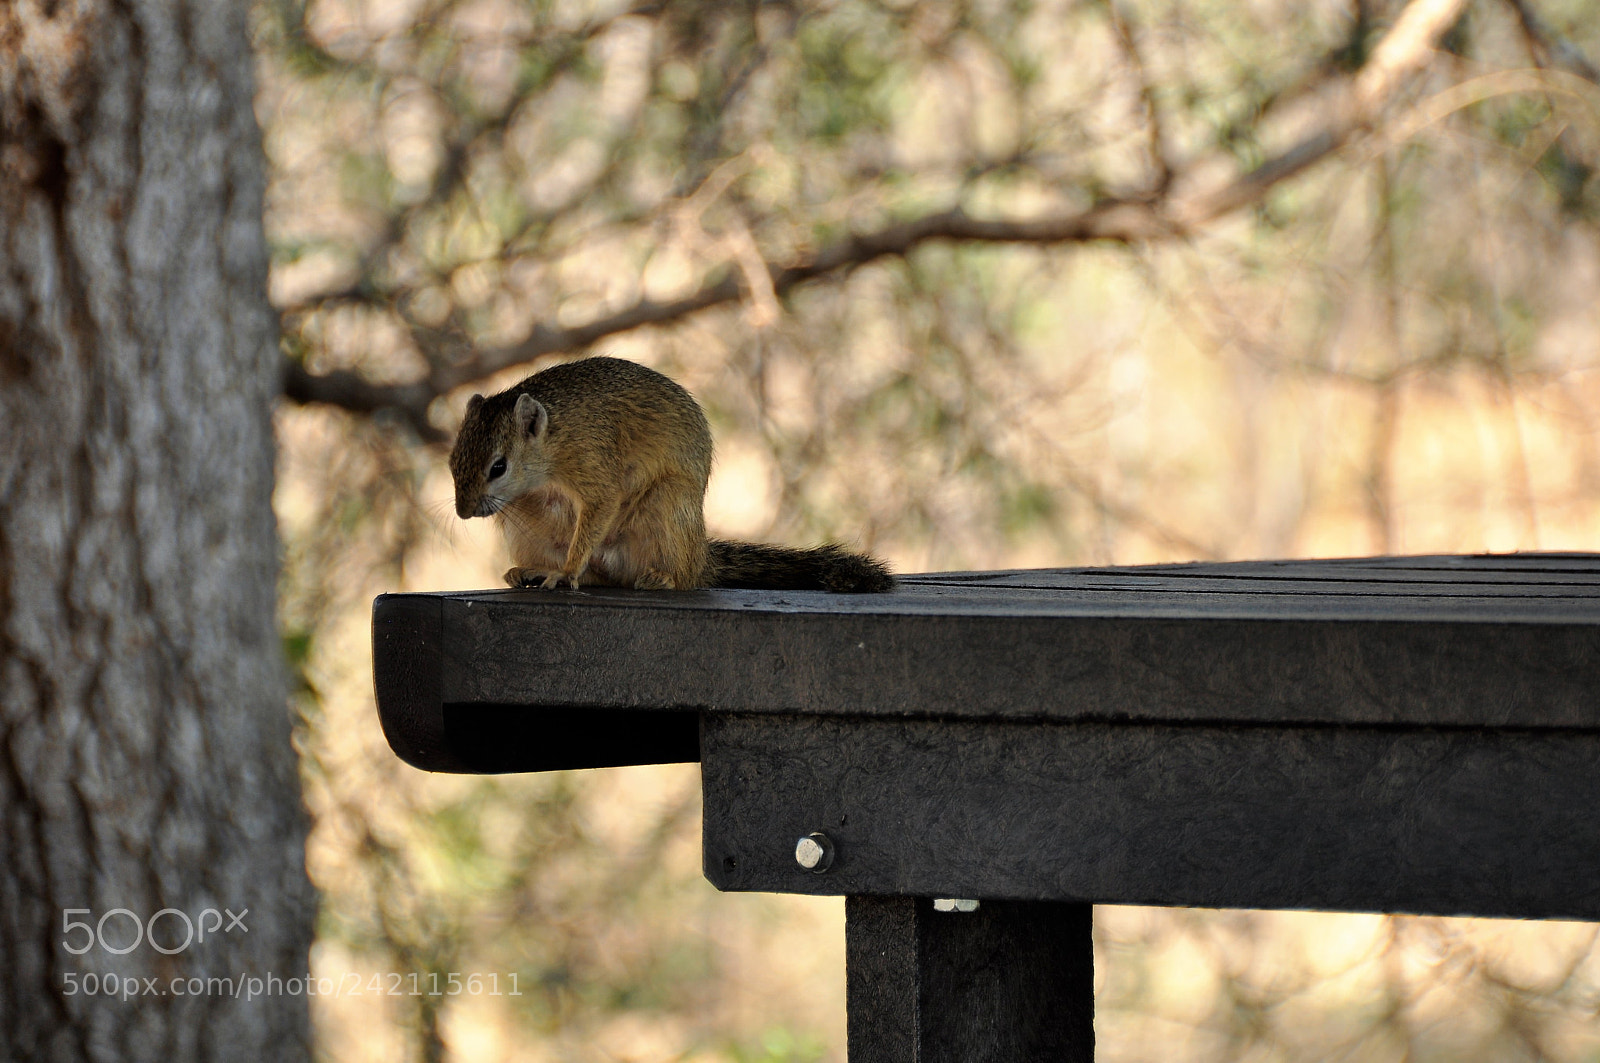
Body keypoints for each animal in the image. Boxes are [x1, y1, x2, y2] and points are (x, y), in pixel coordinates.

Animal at [448, 356, 894, 593]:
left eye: (498, 467)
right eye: (452, 461)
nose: (463, 512)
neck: (555, 437)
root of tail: (699, 557)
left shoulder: (594, 461)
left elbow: (600, 505)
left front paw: (567, 570)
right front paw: (553, 568)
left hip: (669, 505)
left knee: (680, 576)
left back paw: (661, 578)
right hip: (521, 527)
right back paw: (530, 569)